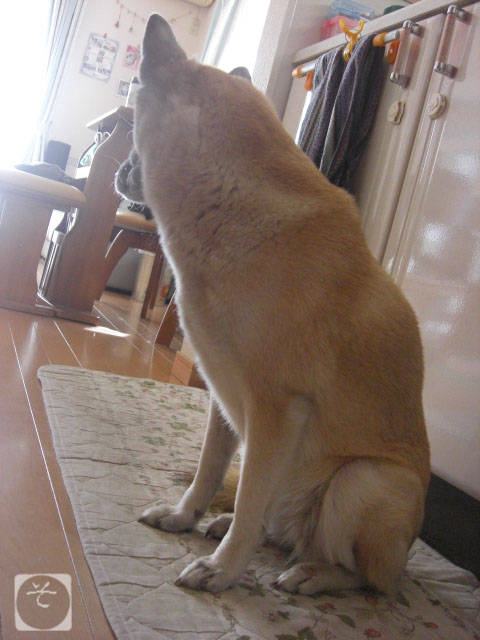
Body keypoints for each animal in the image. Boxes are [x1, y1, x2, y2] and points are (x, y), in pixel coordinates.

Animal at [115, 14, 430, 595]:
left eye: (131, 138)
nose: (117, 175)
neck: (230, 200)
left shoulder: (277, 410)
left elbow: (247, 496)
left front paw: (223, 571)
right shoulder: (221, 398)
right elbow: (211, 472)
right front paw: (185, 517)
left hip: (363, 481)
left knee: (368, 579)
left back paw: (312, 574)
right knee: (279, 528)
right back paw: (234, 531)